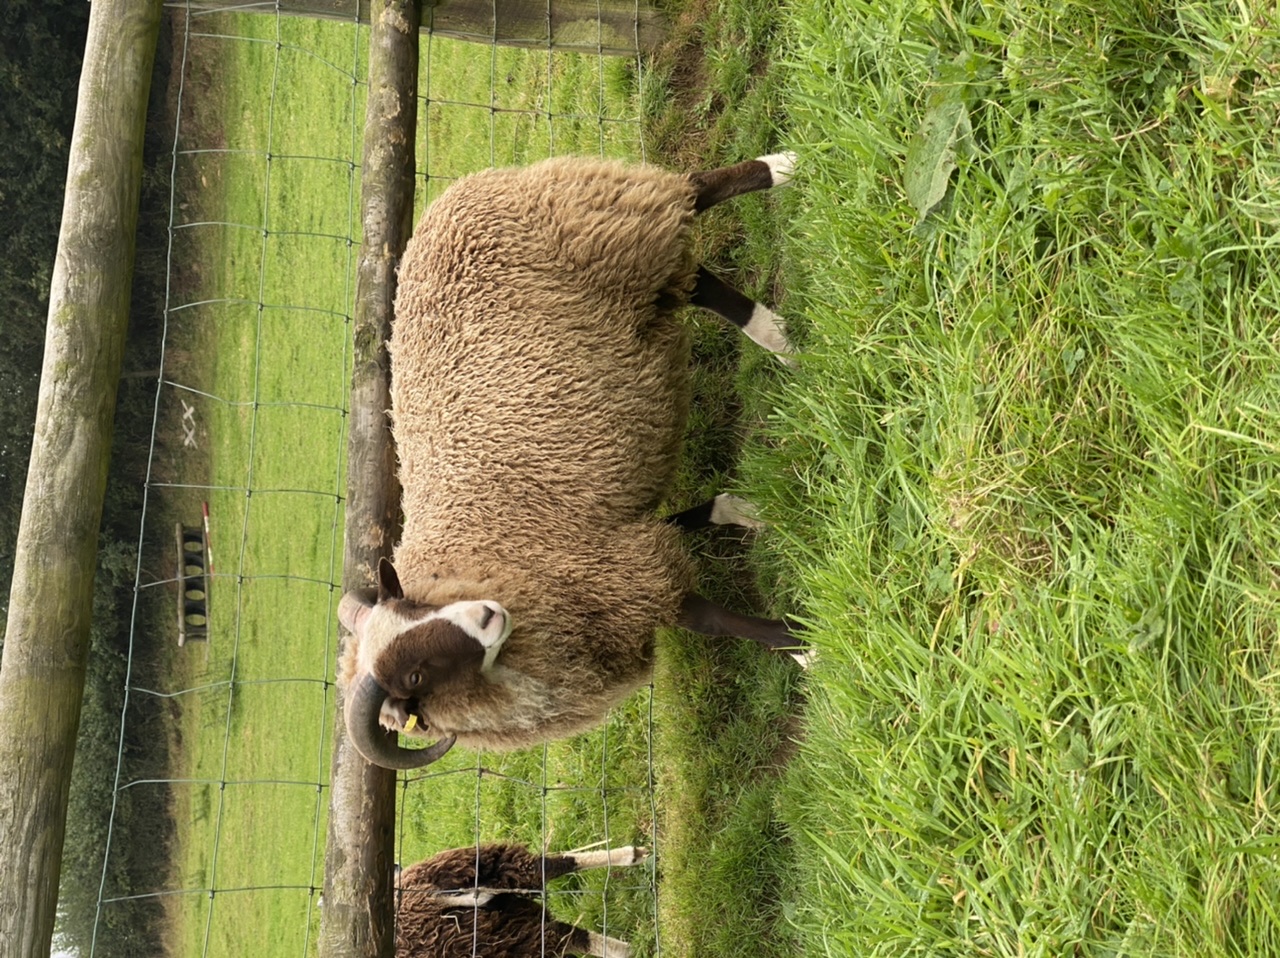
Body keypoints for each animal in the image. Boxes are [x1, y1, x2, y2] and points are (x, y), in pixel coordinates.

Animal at [339, 154, 804, 769]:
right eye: (413, 675)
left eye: (415, 609)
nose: (486, 614)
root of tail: (445, 203)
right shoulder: (603, 558)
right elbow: (685, 532)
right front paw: (747, 512)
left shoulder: (612, 580)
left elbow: (717, 621)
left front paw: (804, 644)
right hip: (628, 269)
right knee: (696, 282)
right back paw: (781, 338)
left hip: (605, 222)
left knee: (694, 192)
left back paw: (782, 171)